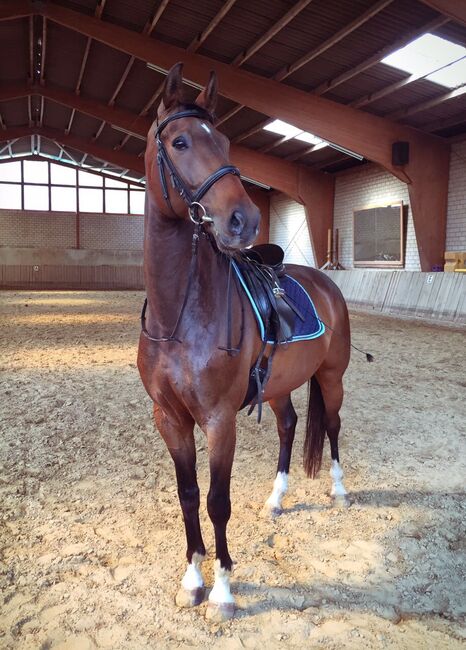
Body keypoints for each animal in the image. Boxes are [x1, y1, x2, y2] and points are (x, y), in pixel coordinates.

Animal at [138, 62, 350, 624]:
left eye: (227, 142)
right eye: (181, 141)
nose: (244, 219)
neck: (181, 317)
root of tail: (325, 282)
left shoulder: (220, 419)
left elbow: (218, 501)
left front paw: (223, 592)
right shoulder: (170, 419)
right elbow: (189, 495)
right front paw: (192, 580)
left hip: (331, 377)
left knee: (333, 427)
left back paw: (341, 491)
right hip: (278, 387)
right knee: (290, 426)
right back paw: (276, 499)